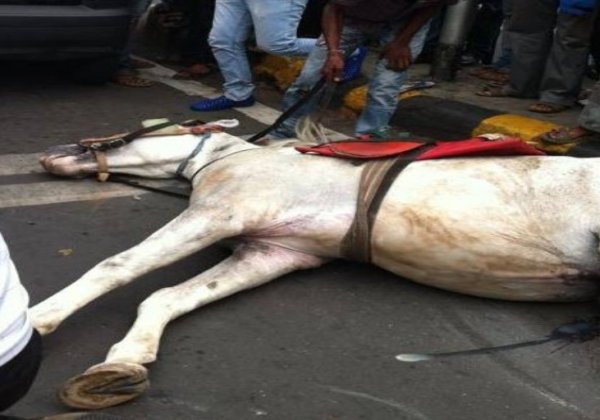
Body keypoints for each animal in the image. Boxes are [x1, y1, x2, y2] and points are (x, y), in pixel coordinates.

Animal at [30, 124, 600, 410]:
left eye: (133, 131)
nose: (48, 156)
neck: (233, 158)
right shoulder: (275, 251)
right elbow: (167, 297)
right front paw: (123, 363)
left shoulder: (219, 214)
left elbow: (118, 267)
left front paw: (33, 321)